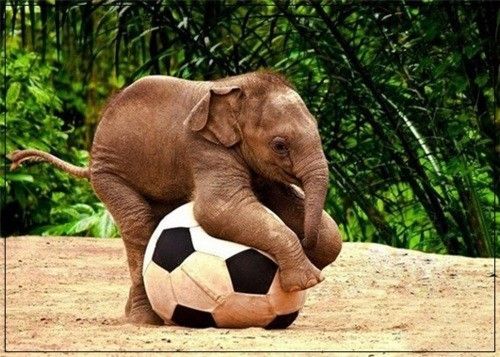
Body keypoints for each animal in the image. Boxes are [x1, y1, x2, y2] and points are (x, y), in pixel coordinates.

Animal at [8, 71, 344, 324]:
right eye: (279, 145)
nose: (305, 242)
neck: (239, 87)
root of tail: (90, 163)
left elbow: (306, 217)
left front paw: (312, 259)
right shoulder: (204, 148)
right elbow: (217, 209)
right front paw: (308, 280)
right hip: (110, 173)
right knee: (139, 224)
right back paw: (145, 320)